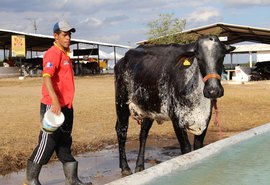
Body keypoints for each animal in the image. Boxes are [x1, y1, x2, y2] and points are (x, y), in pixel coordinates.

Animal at [113, 35, 234, 176]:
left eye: (222, 56)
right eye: (199, 58)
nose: (213, 90)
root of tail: (122, 60)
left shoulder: (205, 119)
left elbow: (198, 147)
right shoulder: (177, 120)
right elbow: (186, 149)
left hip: (149, 108)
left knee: (143, 134)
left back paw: (139, 166)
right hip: (121, 103)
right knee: (121, 130)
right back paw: (125, 167)